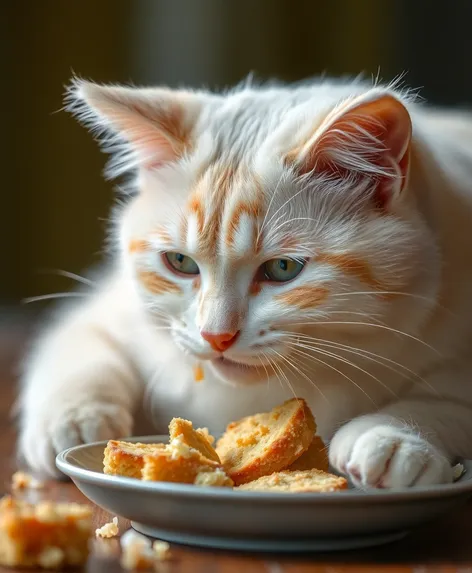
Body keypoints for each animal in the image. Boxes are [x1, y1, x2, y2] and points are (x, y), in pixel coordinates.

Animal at [17, 73, 472, 490]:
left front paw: (391, 438)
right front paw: (74, 420)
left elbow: (442, 399)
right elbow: (81, 352)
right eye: (180, 262)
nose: (216, 335)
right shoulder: (106, 314)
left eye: (283, 269)